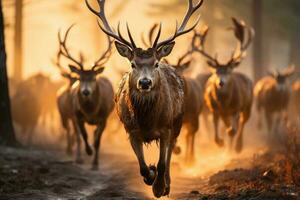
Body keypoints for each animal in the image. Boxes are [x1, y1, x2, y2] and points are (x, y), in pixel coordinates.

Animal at [56, 25, 114, 169]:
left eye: (93, 78)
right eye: (80, 78)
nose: (86, 92)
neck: (91, 111)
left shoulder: (104, 117)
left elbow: (98, 140)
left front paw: (95, 164)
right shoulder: (77, 115)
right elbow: (83, 135)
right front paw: (88, 151)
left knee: (95, 134)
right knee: (76, 135)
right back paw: (78, 157)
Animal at [86, 0, 203, 197]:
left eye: (155, 64)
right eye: (133, 64)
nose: (145, 82)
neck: (147, 120)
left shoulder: (165, 128)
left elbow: (163, 162)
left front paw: (159, 187)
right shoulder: (131, 130)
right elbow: (141, 167)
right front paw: (151, 174)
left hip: (178, 122)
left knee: (171, 151)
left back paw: (167, 184)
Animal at [193, 18, 254, 153]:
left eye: (228, 71)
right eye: (216, 72)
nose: (221, 82)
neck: (224, 102)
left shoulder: (237, 107)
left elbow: (234, 128)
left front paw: (231, 138)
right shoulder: (214, 109)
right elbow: (216, 132)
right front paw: (220, 142)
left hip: (248, 104)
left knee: (243, 122)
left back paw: (238, 146)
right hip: (224, 114)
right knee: (229, 124)